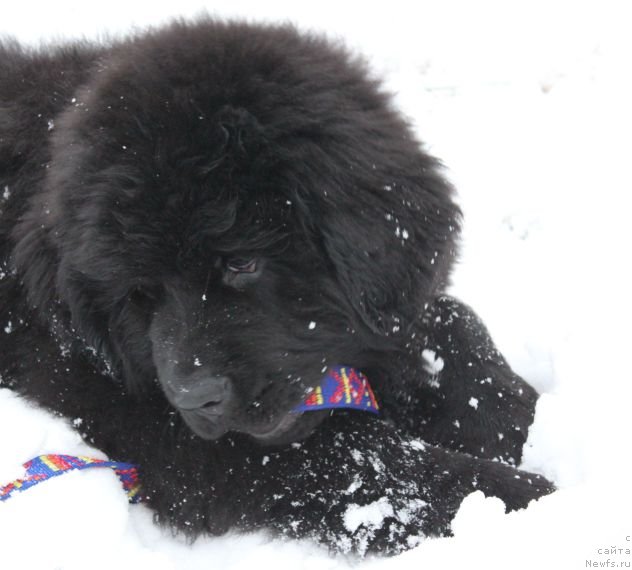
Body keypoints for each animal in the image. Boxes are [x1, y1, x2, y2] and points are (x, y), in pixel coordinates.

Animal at [0, 20, 552, 552]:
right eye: (140, 292)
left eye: (243, 262)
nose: (193, 397)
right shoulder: (177, 436)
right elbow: (372, 461)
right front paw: (530, 500)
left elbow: (451, 323)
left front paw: (512, 413)